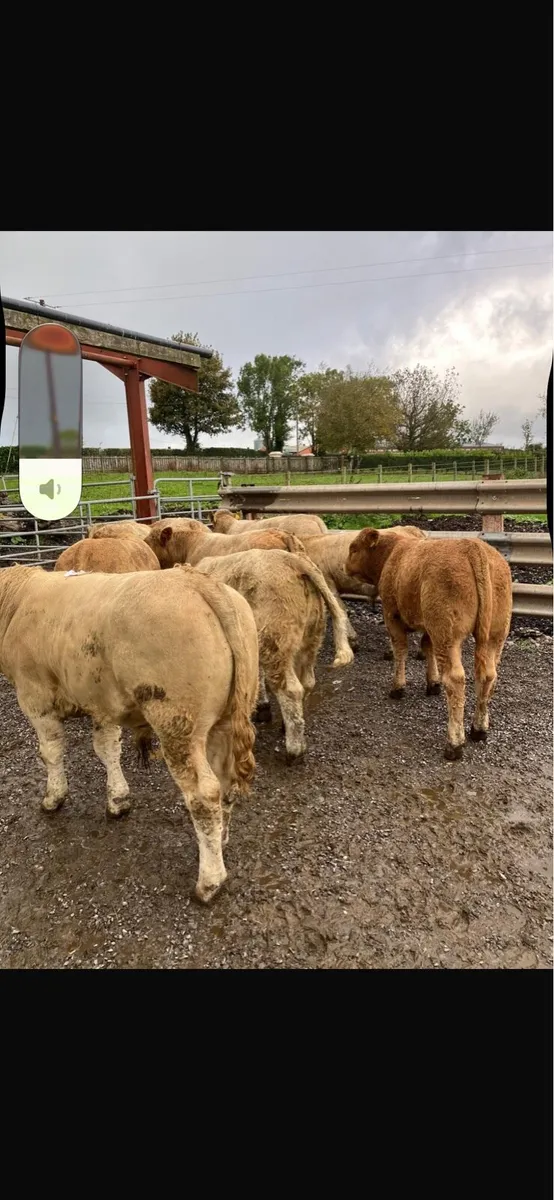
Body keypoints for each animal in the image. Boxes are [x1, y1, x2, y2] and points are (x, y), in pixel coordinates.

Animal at [0, 564, 259, 903]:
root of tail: (194, 579)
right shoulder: (101, 702)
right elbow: (107, 748)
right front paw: (118, 799)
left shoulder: (35, 696)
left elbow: (51, 752)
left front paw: (53, 798)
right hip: (226, 720)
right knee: (225, 782)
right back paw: (219, 841)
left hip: (178, 724)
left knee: (204, 795)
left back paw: (210, 880)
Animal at [192, 549, 353, 760]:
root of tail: (294, 560)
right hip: (308, 639)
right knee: (307, 682)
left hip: (275, 640)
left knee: (291, 690)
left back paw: (294, 749)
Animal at [346, 528, 512, 760]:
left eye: (353, 548)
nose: (344, 566)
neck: (393, 554)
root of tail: (473, 546)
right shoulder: (428, 626)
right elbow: (427, 647)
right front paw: (432, 683)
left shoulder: (392, 615)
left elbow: (400, 650)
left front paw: (398, 687)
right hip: (495, 634)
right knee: (488, 676)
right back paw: (479, 729)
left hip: (447, 633)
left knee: (455, 679)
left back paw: (454, 743)